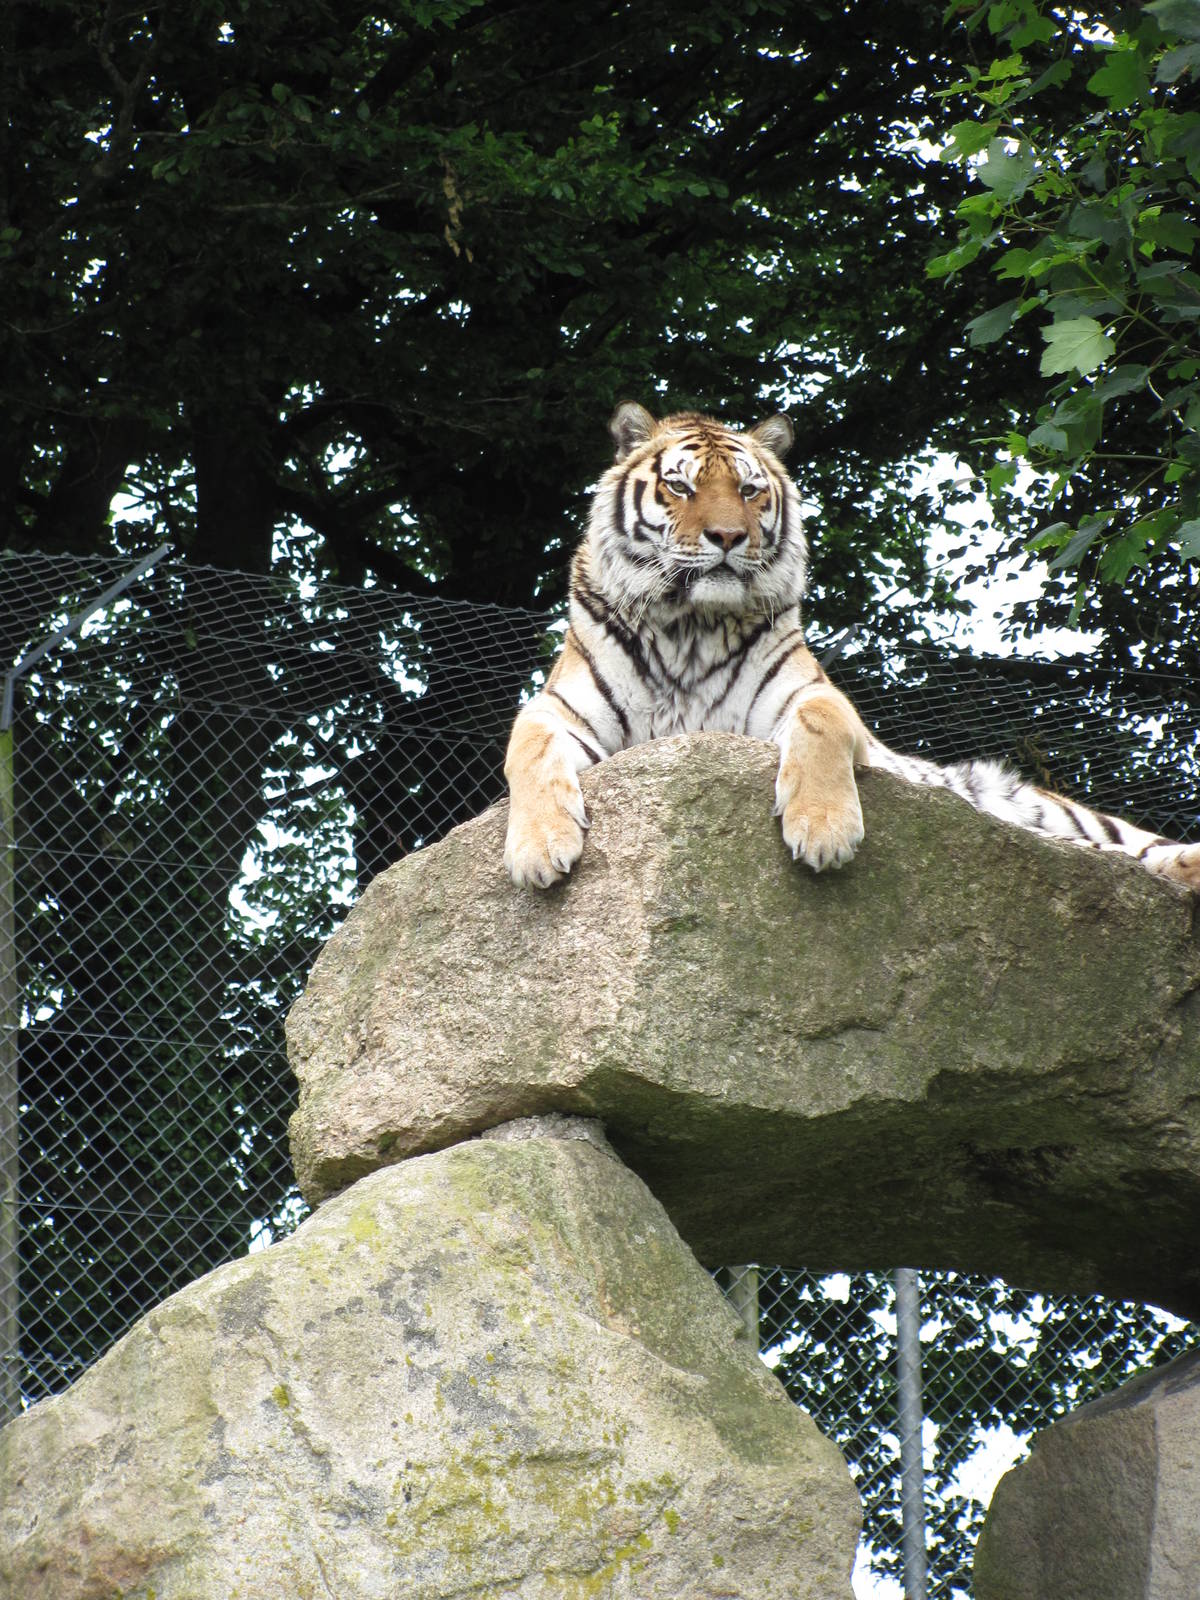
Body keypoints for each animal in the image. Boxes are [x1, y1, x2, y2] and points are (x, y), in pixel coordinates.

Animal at [503, 401, 1200, 893]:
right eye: (681, 487)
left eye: (750, 490)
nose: (728, 537)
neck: (689, 626)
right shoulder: (561, 711)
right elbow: (527, 748)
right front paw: (538, 850)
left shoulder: (810, 698)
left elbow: (821, 723)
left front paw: (822, 829)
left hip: (1052, 807)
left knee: (1130, 842)